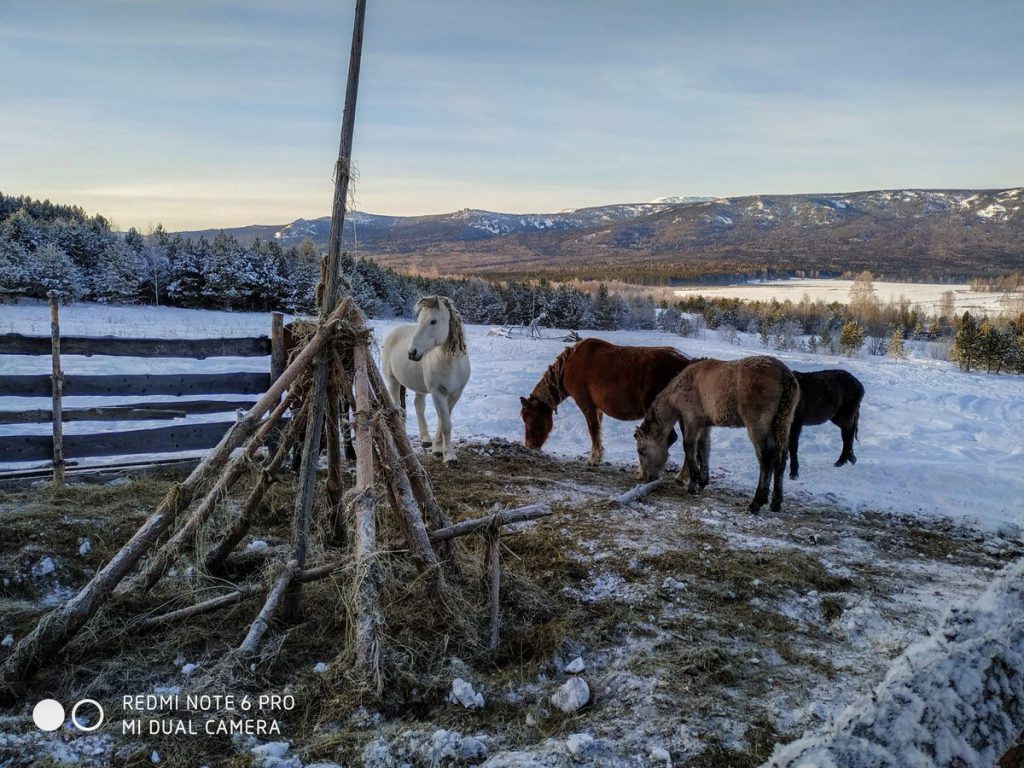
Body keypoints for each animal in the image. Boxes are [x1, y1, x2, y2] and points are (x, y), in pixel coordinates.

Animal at [380, 292, 471, 462]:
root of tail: (394, 331)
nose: (412, 353)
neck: (451, 364)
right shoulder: (437, 393)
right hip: (392, 381)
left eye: (433, 321)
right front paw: (449, 457)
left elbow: (443, 422)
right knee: (398, 407)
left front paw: (438, 449)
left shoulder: (455, 394)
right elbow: (445, 424)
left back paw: (426, 440)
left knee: (419, 406)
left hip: (419, 388)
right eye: (419, 320)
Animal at [520, 342, 696, 468]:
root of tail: (687, 362)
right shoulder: (598, 409)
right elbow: (598, 431)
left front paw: (594, 459)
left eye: (527, 418)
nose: (529, 446)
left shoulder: (587, 406)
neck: (569, 365)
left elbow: (593, 430)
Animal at [634, 356, 794, 514]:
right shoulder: (705, 425)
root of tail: (784, 374)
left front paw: (693, 484)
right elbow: (703, 449)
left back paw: (756, 502)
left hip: (757, 427)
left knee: (766, 459)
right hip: (782, 425)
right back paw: (775, 502)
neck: (684, 383)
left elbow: (690, 448)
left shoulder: (691, 420)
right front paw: (702, 482)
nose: (647, 478)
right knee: (781, 458)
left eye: (642, 451)